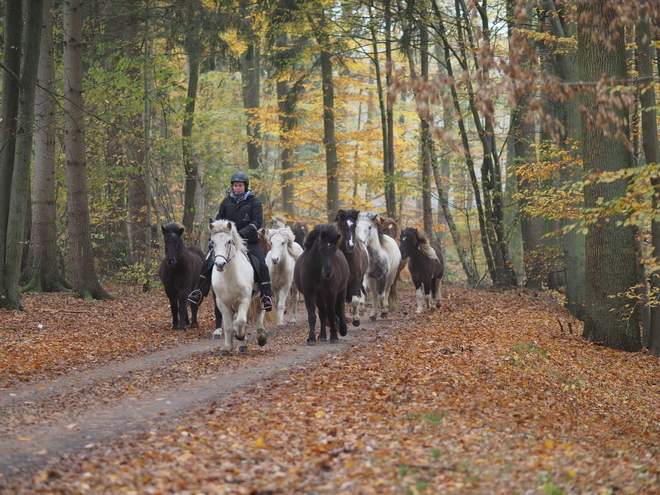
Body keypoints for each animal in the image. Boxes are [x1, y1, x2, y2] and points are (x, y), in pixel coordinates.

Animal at [208, 219, 266, 354]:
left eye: (229, 241)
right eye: (212, 242)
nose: (220, 264)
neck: (229, 277)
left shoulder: (244, 299)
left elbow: (240, 321)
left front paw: (241, 336)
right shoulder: (222, 303)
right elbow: (229, 326)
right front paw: (227, 347)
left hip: (259, 296)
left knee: (259, 312)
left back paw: (261, 337)